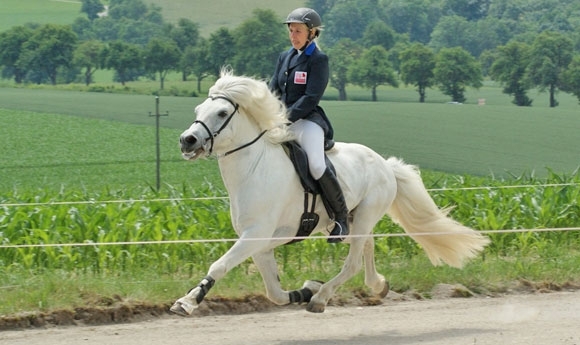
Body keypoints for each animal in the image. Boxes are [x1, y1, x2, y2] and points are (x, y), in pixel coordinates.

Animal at [172, 70, 490, 314]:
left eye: (222, 112)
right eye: (198, 111)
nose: (187, 140)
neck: (254, 169)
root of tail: (385, 164)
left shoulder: (255, 237)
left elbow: (219, 265)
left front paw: (187, 301)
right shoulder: (259, 242)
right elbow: (274, 291)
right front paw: (305, 290)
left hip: (365, 214)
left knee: (352, 262)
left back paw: (322, 298)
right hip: (355, 217)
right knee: (367, 246)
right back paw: (376, 286)